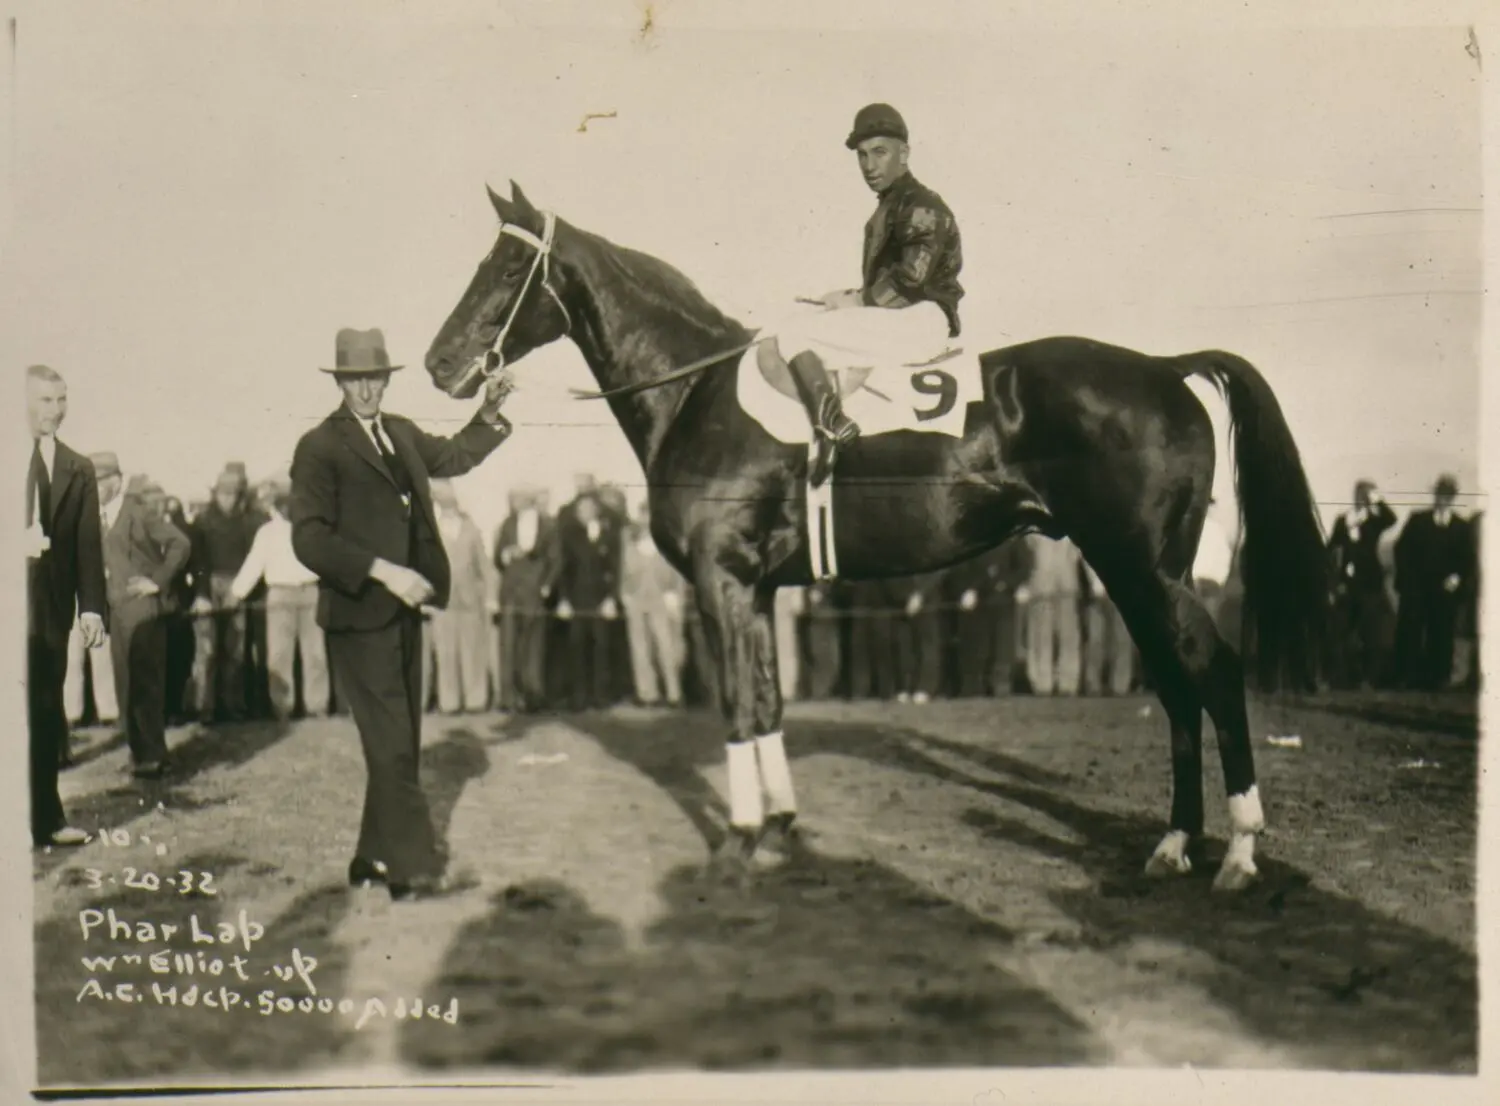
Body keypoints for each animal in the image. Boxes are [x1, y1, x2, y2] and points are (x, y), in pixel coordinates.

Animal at [423, 181, 1326, 888]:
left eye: (506, 269)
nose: (438, 364)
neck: (697, 396)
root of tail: (1163, 367)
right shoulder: (756, 590)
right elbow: (767, 701)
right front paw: (780, 830)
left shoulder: (721, 582)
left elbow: (737, 707)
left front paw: (741, 840)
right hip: (1130, 570)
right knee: (1176, 684)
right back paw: (1174, 844)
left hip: (1146, 568)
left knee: (1214, 670)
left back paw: (1240, 852)